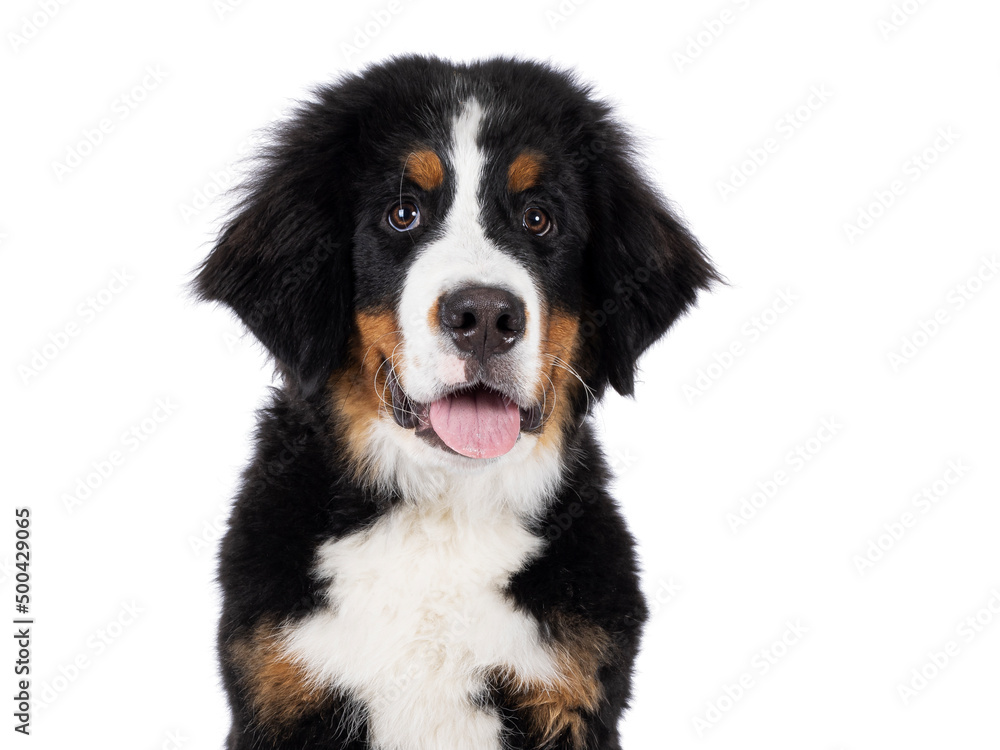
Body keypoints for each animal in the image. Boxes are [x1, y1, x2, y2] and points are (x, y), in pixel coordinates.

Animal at [195, 54, 716, 750]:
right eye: (403, 213)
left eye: (538, 219)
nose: (486, 317)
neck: (445, 514)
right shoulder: (284, 687)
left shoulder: (566, 692)